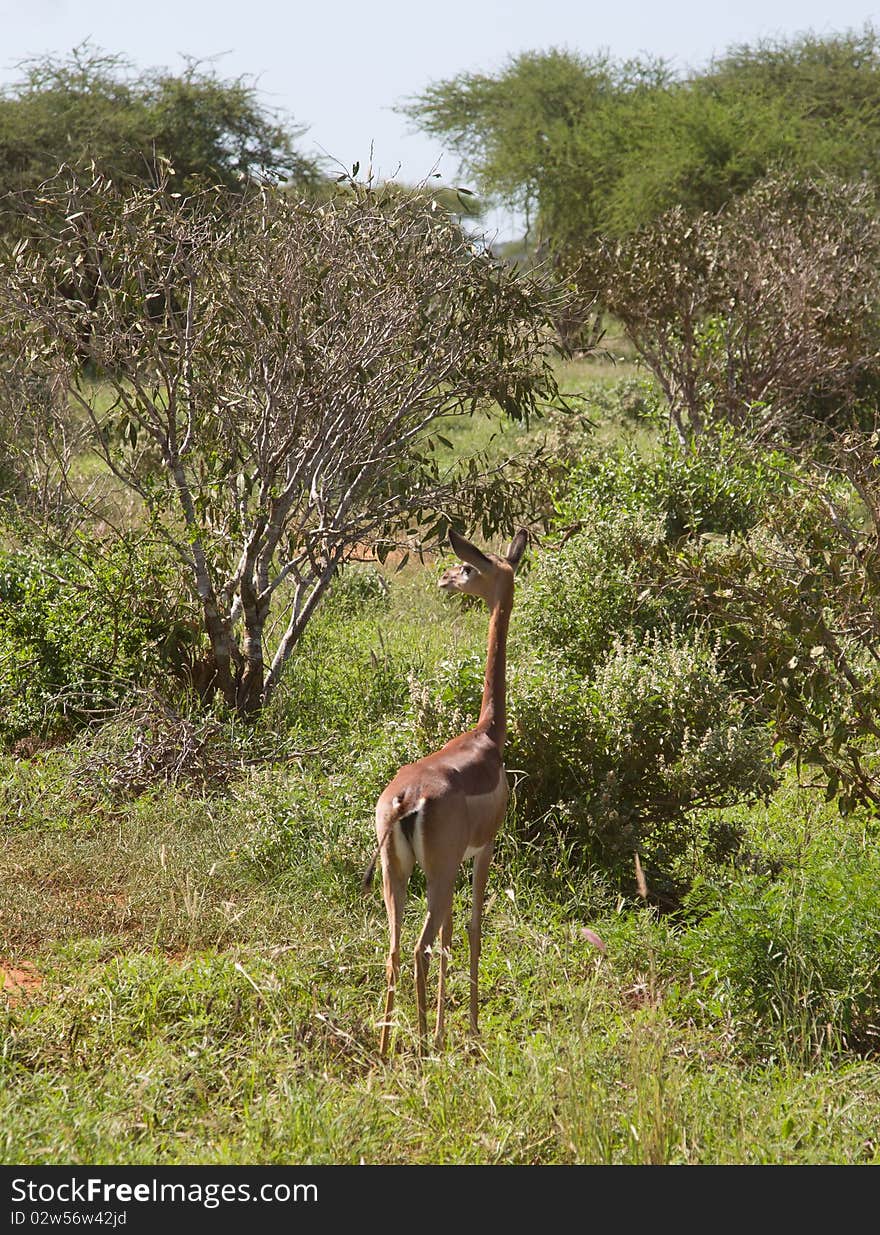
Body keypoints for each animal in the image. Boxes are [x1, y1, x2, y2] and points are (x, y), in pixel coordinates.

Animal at [365, 526, 528, 1057]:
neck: (487, 737)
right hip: (434, 875)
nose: (445, 578)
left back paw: (388, 1046)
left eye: (469, 568)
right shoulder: (483, 850)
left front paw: (444, 1026)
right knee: (420, 945)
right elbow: (473, 930)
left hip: (397, 876)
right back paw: (419, 1043)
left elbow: (453, 937)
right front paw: (468, 1028)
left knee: (396, 948)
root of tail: (403, 801)